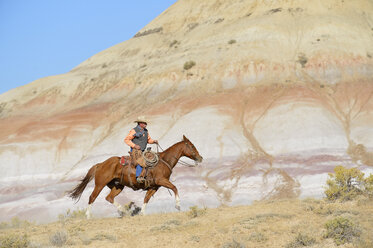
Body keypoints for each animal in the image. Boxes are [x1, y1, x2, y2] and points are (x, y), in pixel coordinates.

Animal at [70, 135, 203, 218]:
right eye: (192, 146)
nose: (200, 158)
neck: (164, 161)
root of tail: (100, 164)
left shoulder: (154, 186)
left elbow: (146, 198)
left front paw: (142, 213)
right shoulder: (161, 180)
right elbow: (175, 188)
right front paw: (178, 205)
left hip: (118, 186)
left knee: (109, 198)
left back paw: (123, 211)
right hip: (100, 184)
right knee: (92, 197)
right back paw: (88, 215)